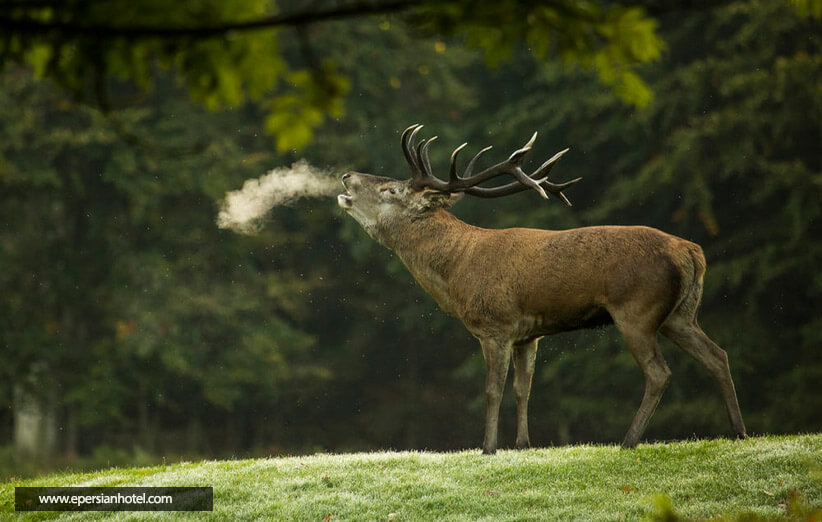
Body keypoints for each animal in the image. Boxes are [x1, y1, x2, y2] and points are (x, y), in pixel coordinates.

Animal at [338, 124, 748, 452]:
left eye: (391, 189)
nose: (346, 176)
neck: (458, 272)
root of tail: (693, 252)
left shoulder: (495, 325)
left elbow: (493, 390)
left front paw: (488, 448)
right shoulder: (528, 334)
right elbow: (524, 389)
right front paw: (523, 444)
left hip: (637, 310)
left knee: (659, 372)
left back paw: (628, 441)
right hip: (680, 314)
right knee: (718, 355)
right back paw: (739, 432)